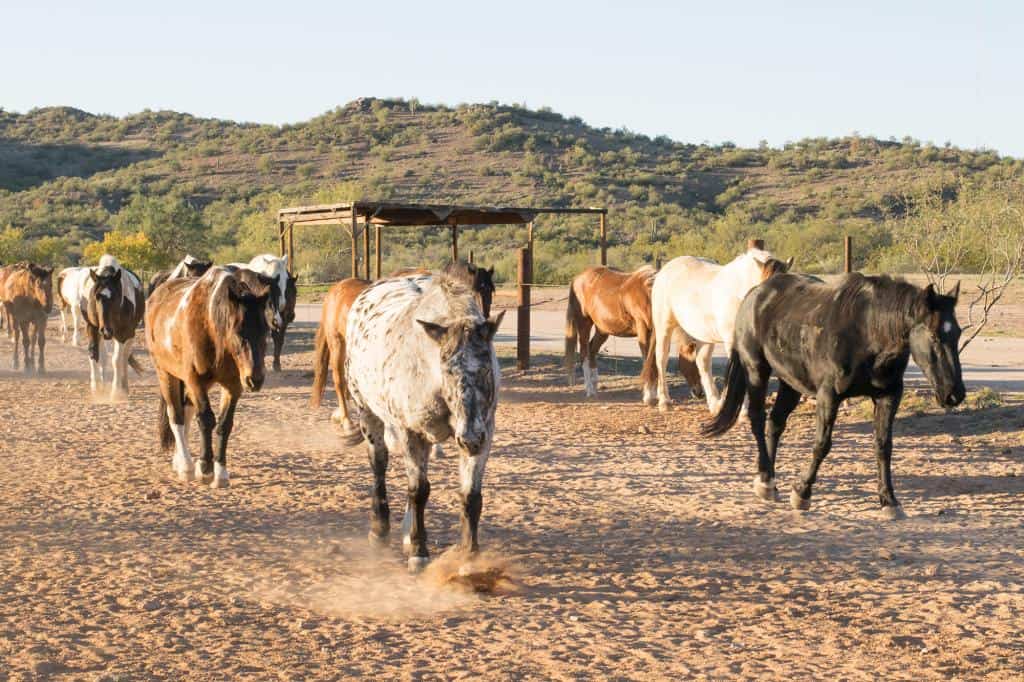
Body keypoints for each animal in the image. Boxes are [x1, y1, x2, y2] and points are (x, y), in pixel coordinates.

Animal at [82, 253, 146, 393]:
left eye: (116, 296)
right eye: (96, 296)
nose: (106, 331)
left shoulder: (122, 334)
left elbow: (117, 360)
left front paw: (116, 392)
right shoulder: (92, 327)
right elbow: (94, 353)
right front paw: (96, 388)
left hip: (129, 334)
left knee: (124, 357)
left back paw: (123, 385)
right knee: (104, 356)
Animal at [144, 266, 274, 483]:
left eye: (265, 332)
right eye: (238, 332)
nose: (255, 379)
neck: (211, 325)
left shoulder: (233, 386)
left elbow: (224, 424)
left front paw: (220, 472)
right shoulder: (196, 381)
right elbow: (206, 419)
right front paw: (205, 467)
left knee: (186, 411)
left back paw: (180, 461)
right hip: (166, 374)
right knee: (176, 416)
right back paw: (186, 466)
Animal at [561, 261, 704, 399]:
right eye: (694, 363)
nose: (699, 393)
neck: (651, 294)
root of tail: (578, 278)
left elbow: (658, 359)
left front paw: (659, 394)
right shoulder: (643, 331)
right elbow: (648, 360)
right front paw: (649, 394)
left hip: (602, 330)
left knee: (592, 350)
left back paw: (595, 385)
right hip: (584, 324)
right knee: (584, 352)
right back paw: (589, 389)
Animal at [638, 246, 790, 411]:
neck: (738, 293)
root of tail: (663, 272)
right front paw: (743, 411)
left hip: (704, 336)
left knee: (702, 362)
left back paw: (714, 403)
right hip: (664, 327)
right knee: (661, 359)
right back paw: (665, 402)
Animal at [704, 270, 966, 516]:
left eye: (958, 333)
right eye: (933, 335)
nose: (954, 394)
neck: (867, 331)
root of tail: (755, 293)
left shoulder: (889, 396)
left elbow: (884, 446)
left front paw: (889, 501)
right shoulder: (828, 396)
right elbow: (822, 444)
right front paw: (802, 493)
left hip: (791, 383)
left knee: (775, 423)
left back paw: (768, 479)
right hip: (756, 370)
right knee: (758, 419)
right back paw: (766, 480)